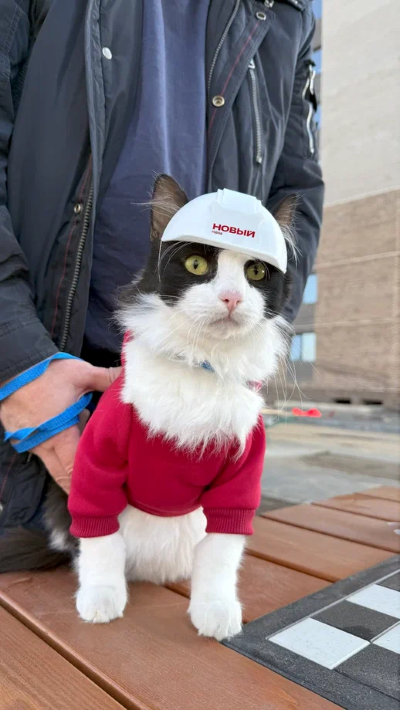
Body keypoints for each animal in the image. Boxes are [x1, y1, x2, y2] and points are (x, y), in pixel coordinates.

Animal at [68, 175, 295, 641]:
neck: (201, 363)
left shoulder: (241, 473)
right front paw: (100, 595)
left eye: (256, 272)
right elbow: (98, 534)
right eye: (194, 265)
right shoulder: (98, 456)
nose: (231, 297)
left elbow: (222, 549)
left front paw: (215, 607)